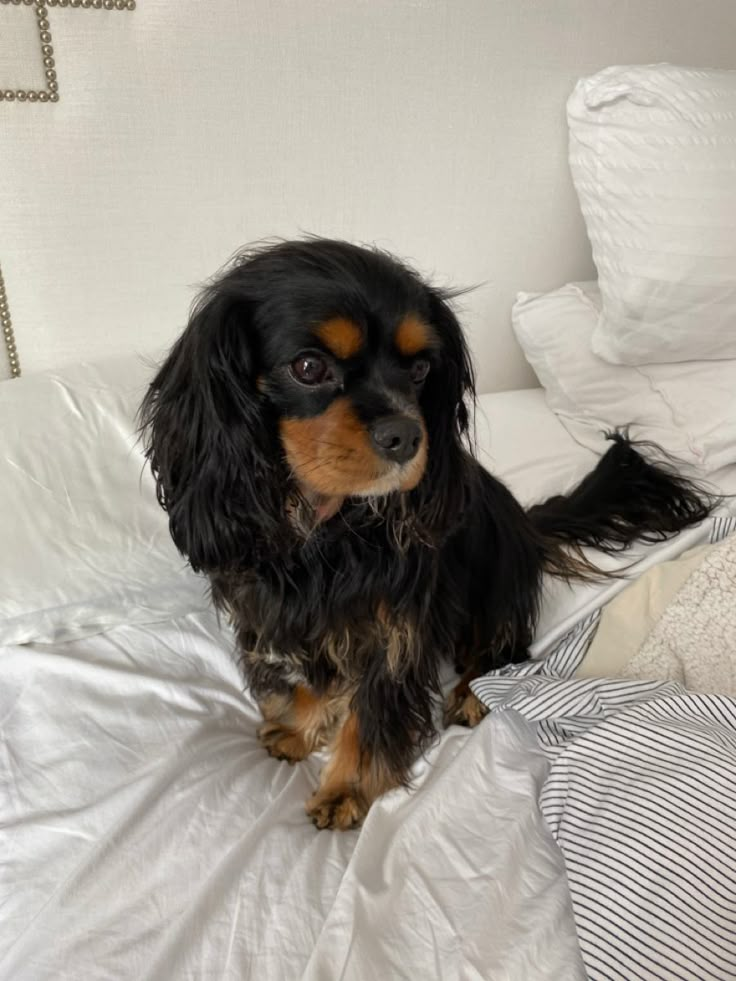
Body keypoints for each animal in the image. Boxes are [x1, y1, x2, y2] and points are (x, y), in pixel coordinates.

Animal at [141, 237, 716, 828]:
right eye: (308, 367)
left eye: (420, 369)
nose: (405, 435)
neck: (326, 530)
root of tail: (526, 522)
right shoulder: (276, 609)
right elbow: (311, 674)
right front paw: (301, 727)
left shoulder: (396, 629)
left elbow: (373, 709)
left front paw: (346, 788)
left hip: (498, 585)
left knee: (505, 648)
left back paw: (474, 692)